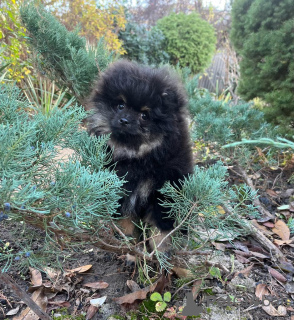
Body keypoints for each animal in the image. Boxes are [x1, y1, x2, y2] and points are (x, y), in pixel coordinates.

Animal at [87, 60, 193, 234]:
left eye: (144, 116)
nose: (124, 120)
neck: (138, 157)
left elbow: (161, 225)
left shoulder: (166, 188)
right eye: (121, 105)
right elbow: (124, 215)